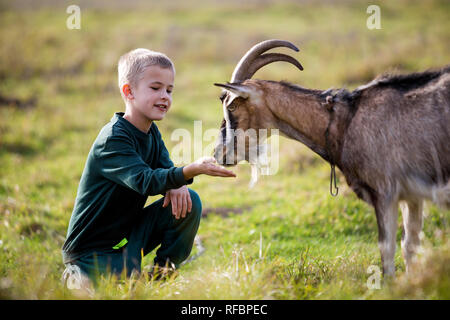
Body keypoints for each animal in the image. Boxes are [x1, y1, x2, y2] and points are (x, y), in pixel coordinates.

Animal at [214, 40, 450, 276]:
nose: (218, 154)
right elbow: (410, 246)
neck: (345, 120)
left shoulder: (384, 191)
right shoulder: (412, 196)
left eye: (232, 105)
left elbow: (387, 252)